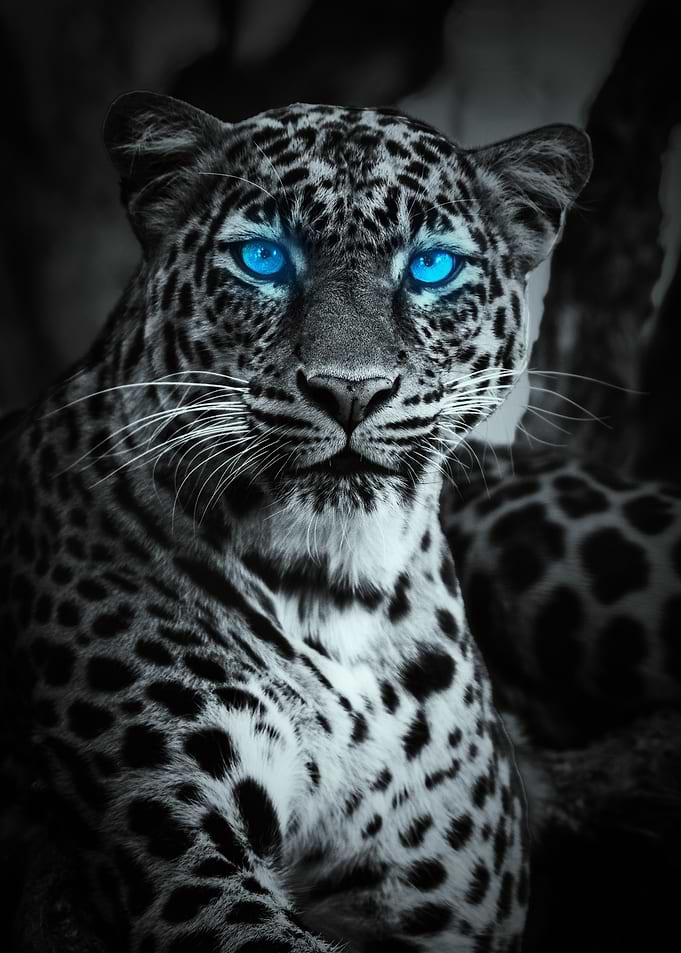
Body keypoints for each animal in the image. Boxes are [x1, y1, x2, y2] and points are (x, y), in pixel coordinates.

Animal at [0, 91, 591, 952]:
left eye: (431, 267)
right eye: (263, 259)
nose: (351, 390)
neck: (337, 591)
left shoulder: (447, 910)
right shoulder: (191, 875)